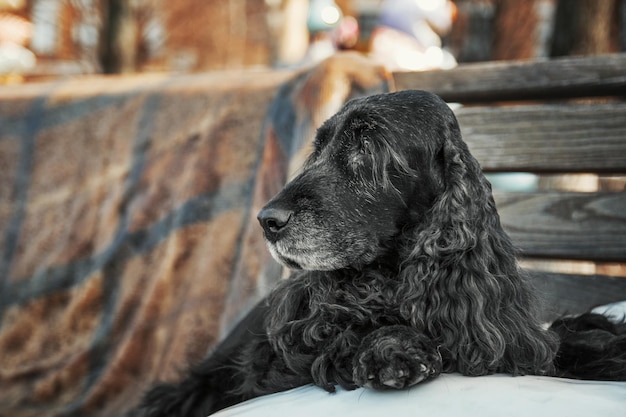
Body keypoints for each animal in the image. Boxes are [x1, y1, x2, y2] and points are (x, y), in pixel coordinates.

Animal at [141, 89, 624, 414]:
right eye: (318, 148)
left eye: (368, 146)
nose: (267, 220)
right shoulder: (282, 358)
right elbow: (349, 335)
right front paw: (395, 349)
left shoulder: (503, 334)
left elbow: (550, 343)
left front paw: (604, 339)